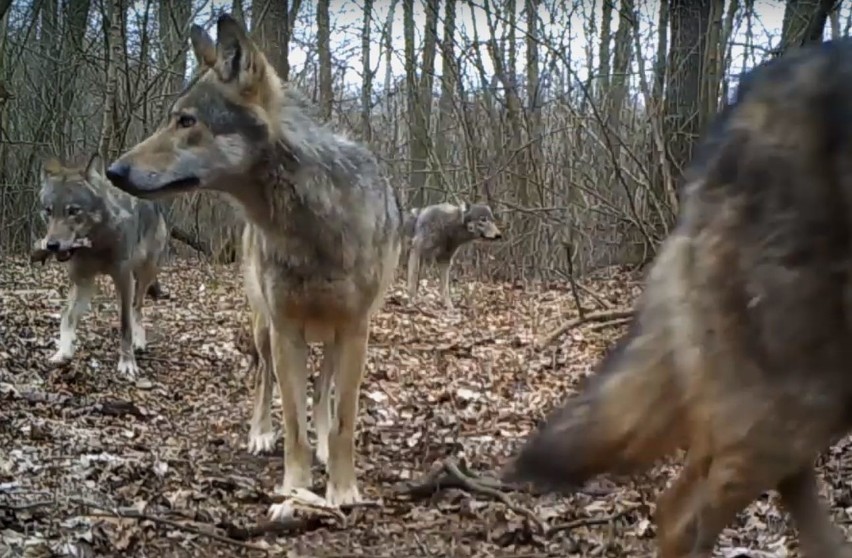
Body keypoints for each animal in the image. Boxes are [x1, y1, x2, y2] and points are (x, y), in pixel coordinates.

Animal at [34, 155, 169, 378]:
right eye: (48, 211)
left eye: (73, 211)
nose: (51, 245)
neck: (95, 245)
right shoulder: (82, 280)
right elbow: (67, 316)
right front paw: (63, 352)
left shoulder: (123, 279)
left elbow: (125, 325)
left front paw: (127, 363)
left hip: (145, 274)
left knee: (137, 307)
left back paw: (139, 342)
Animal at [103, 14, 402, 512]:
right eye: (173, 119)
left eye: (187, 121)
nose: (114, 172)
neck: (309, 228)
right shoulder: (285, 330)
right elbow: (293, 424)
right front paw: (296, 487)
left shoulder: (354, 330)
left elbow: (342, 420)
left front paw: (342, 489)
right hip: (265, 329)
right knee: (264, 381)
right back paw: (261, 434)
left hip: (332, 337)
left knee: (323, 388)